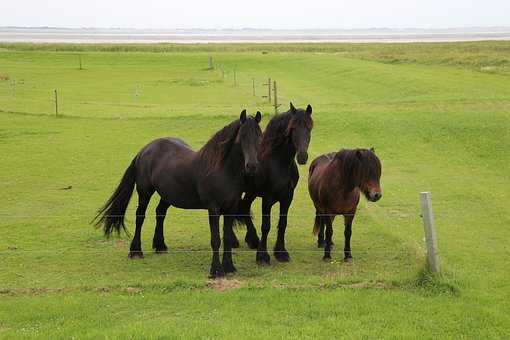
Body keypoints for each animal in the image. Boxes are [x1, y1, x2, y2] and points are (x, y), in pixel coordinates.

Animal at [94, 110, 262, 278]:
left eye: (259, 136)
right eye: (243, 136)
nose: (252, 166)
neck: (221, 170)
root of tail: (145, 150)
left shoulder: (231, 208)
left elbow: (226, 238)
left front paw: (229, 267)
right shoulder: (213, 208)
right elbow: (215, 240)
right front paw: (216, 270)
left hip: (167, 196)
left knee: (160, 213)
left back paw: (160, 246)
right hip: (144, 192)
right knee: (140, 216)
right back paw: (136, 251)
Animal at [235, 102, 314, 264]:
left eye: (309, 127)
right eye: (293, 128)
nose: (302, 156)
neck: (278, 162)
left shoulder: (288, 197)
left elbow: (282, 224)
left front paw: (281, 252)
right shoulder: (267, 198)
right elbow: (266, 226)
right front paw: (262, 256)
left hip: (251, 192)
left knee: (244, 207)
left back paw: (252, 239)